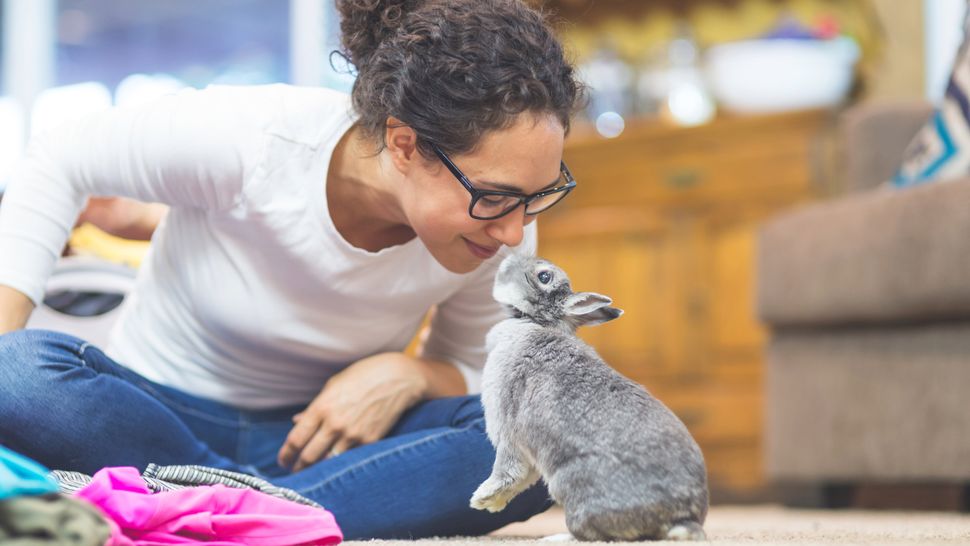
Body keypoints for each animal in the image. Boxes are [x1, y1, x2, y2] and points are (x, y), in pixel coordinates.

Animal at [469, 253, 709, 541]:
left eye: (544, 276)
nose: (511, 256)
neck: (534, 321)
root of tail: (680, 518)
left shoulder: (508, 430)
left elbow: (508, 470)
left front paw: (480, 498)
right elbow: (523, 477)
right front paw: (492, 504)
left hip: (570, 488)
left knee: (591, 534)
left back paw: (555, 538)